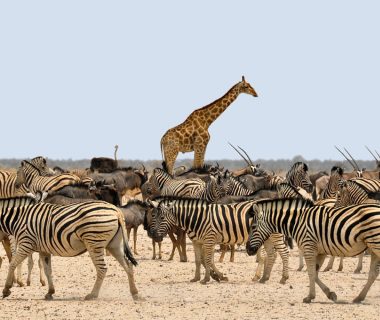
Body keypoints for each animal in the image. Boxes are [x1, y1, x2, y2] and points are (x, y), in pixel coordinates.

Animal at [0, 194, 139, 302]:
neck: (19, 218)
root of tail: (116, 210)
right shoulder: (43, 249)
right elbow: (48, 270)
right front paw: (50, 292)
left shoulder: (26, 243)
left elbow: (12, 263)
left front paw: (6, 289)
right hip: (114, 245)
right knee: (128, 265)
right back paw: (135, 293)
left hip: (94, 242)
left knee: (102, 269)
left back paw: (92, 295)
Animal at [148, 198, 290, 284]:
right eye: (153, 216)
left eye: (161, 217)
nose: (153, 235)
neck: (195, 218)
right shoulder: (197, 242)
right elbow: (199, 260)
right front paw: (197, 278)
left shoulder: (209, 240)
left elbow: (207, 260)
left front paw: (207, 279)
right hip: (266, 237)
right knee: (272, 255)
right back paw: (263, 278)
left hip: (274, 235)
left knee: (283, 253)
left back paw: (283, 278)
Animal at [246, 198, 380, 302]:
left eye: (253, 227)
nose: (248, 250)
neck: (298, 221)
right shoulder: (320, 251)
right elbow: (315, 274)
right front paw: (330, 294)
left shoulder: (308, 248)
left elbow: (311, 273)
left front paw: (310, 297)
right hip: (373, 247)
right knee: (373, 274)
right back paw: (359, 297)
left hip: (376, 244)